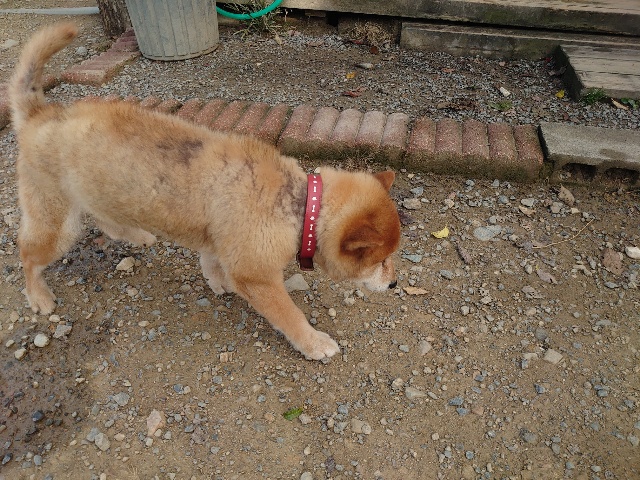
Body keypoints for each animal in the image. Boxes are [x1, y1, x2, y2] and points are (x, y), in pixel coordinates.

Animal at [8, 23, 401, 360]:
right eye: (380, 261)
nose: (395, 284)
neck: (302, 205)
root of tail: (41, 114)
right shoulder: (257, 276)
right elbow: (290, 316)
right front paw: (315, 343)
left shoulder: (218, 240)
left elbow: (210, 262)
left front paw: (217, 281)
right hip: (55, 226)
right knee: (27, 255)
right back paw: (38, 296)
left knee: (106, 221)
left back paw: (136, 235)